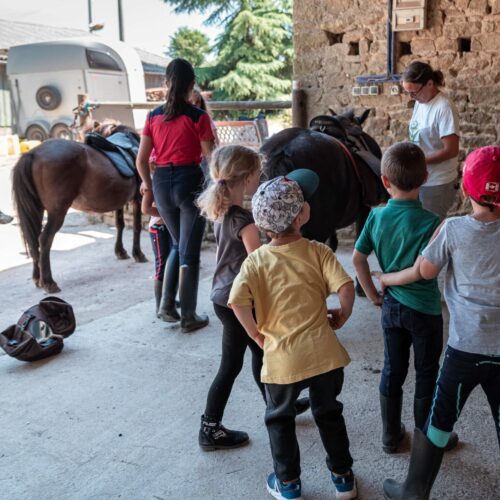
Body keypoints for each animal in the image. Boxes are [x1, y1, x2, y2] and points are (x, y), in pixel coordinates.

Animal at [11, 123, 146, 292]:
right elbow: (136, 226)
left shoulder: (120, 201)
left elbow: (120, 225)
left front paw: (120, 251)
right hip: (57, 212)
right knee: (45, 239)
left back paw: (38, 278)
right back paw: (48, 282)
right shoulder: (138, 199)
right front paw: (138, 254)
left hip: (37, 210)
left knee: (34, 238)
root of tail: (32, 153)